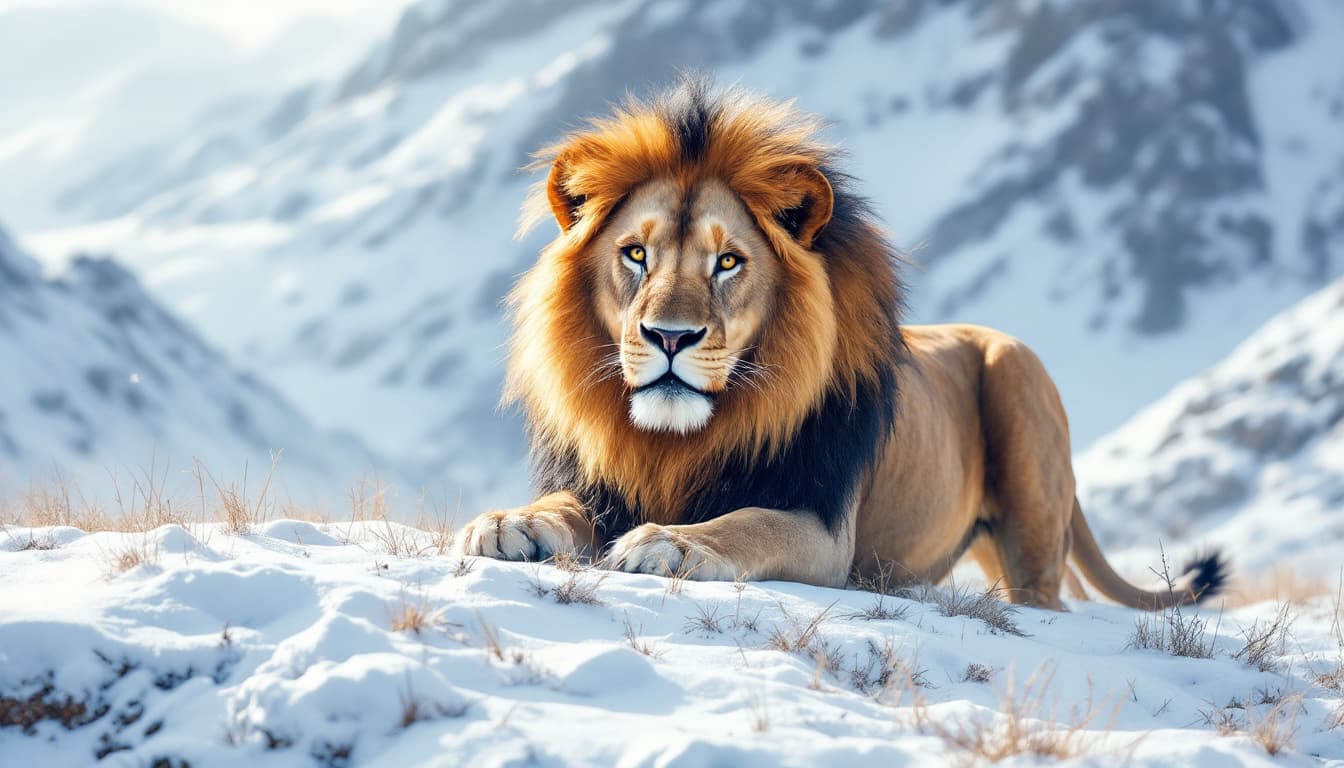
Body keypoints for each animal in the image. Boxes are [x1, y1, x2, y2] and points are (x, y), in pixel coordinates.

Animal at [457, 78, 1226, 610]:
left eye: (728, 262)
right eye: (637, 254)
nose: (670, 336)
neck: (679, 442)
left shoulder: (826, 531)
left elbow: (745, 524)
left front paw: (670, 542)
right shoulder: (595, 482)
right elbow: (559, 508)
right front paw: (507, 523)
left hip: (1021, 391)